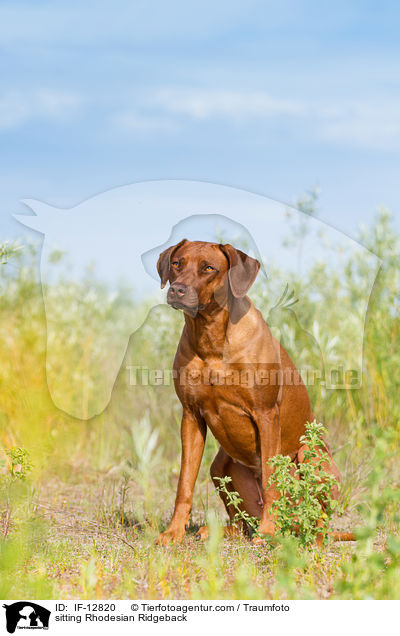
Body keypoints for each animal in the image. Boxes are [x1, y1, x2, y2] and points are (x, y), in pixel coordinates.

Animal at [155, 241, 342, 544]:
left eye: (209, 268)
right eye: (176, 264)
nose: (177, 290)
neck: (210, 336)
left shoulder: (266, 415)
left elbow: (270, 480)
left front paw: (268, 531)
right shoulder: (191, 416)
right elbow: (184, 483)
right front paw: (173, 531)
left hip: (310, 456)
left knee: (318, 520)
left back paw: (305, 535)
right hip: (220, 467)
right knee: (242, 521)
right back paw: (221, 531)